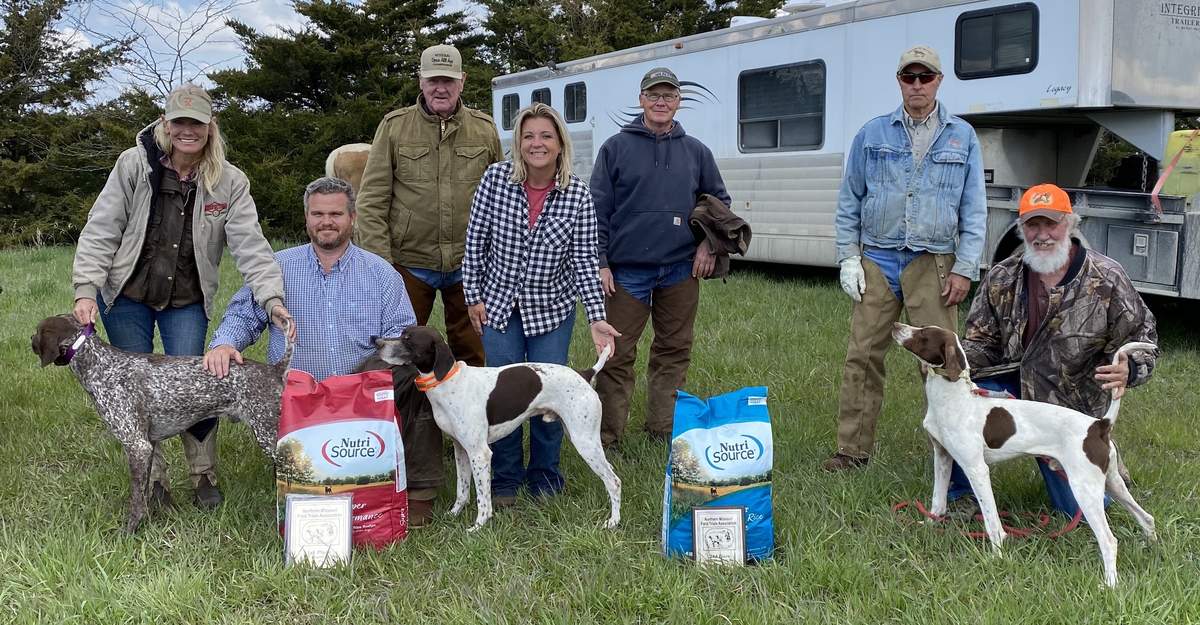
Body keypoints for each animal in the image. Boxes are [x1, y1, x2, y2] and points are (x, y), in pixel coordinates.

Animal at [372, 321, 619, 530]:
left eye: (408, 339)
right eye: (402, 333)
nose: (377, 341)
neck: (449, 382)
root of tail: (584, 374)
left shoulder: (480, 454)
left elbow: (483, 497)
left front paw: (478, 525)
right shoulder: (461, 449)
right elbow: (462, 490)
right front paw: (454, 514)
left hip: (585, 441)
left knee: (614, 481)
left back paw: (613, 522)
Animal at [892, 323, 1152, 587]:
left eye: (924, 334)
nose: (896, 326)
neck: (953, 398)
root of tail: (1098, 425)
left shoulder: (976, 469)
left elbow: (992, 521)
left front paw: (995, 557)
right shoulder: (943, 457)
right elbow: (938, 502)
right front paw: (928, 526)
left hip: (1085, 489)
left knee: (1109, 540)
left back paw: (1110, 584)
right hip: (1113, 483)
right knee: (1147, 517)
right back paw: (1151, 547)